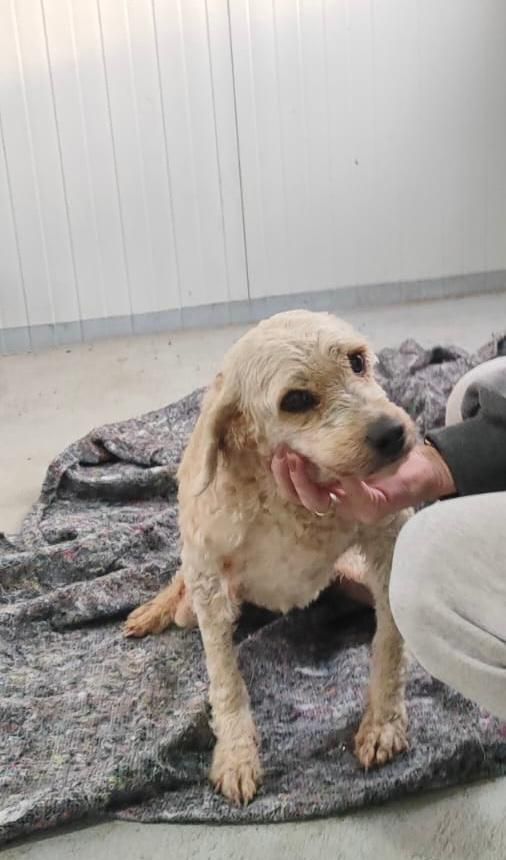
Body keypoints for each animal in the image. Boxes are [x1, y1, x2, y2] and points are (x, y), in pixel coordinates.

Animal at [125, 310, 415, 805]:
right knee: (180, 587)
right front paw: (236, 754)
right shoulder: (207, 574)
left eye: (357, 361)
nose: (392, 433)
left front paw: (383, 723)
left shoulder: (387, 537)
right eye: (296, 400)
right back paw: (156, 609)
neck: (286, 502)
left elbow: (390, 641)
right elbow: (224, 677)